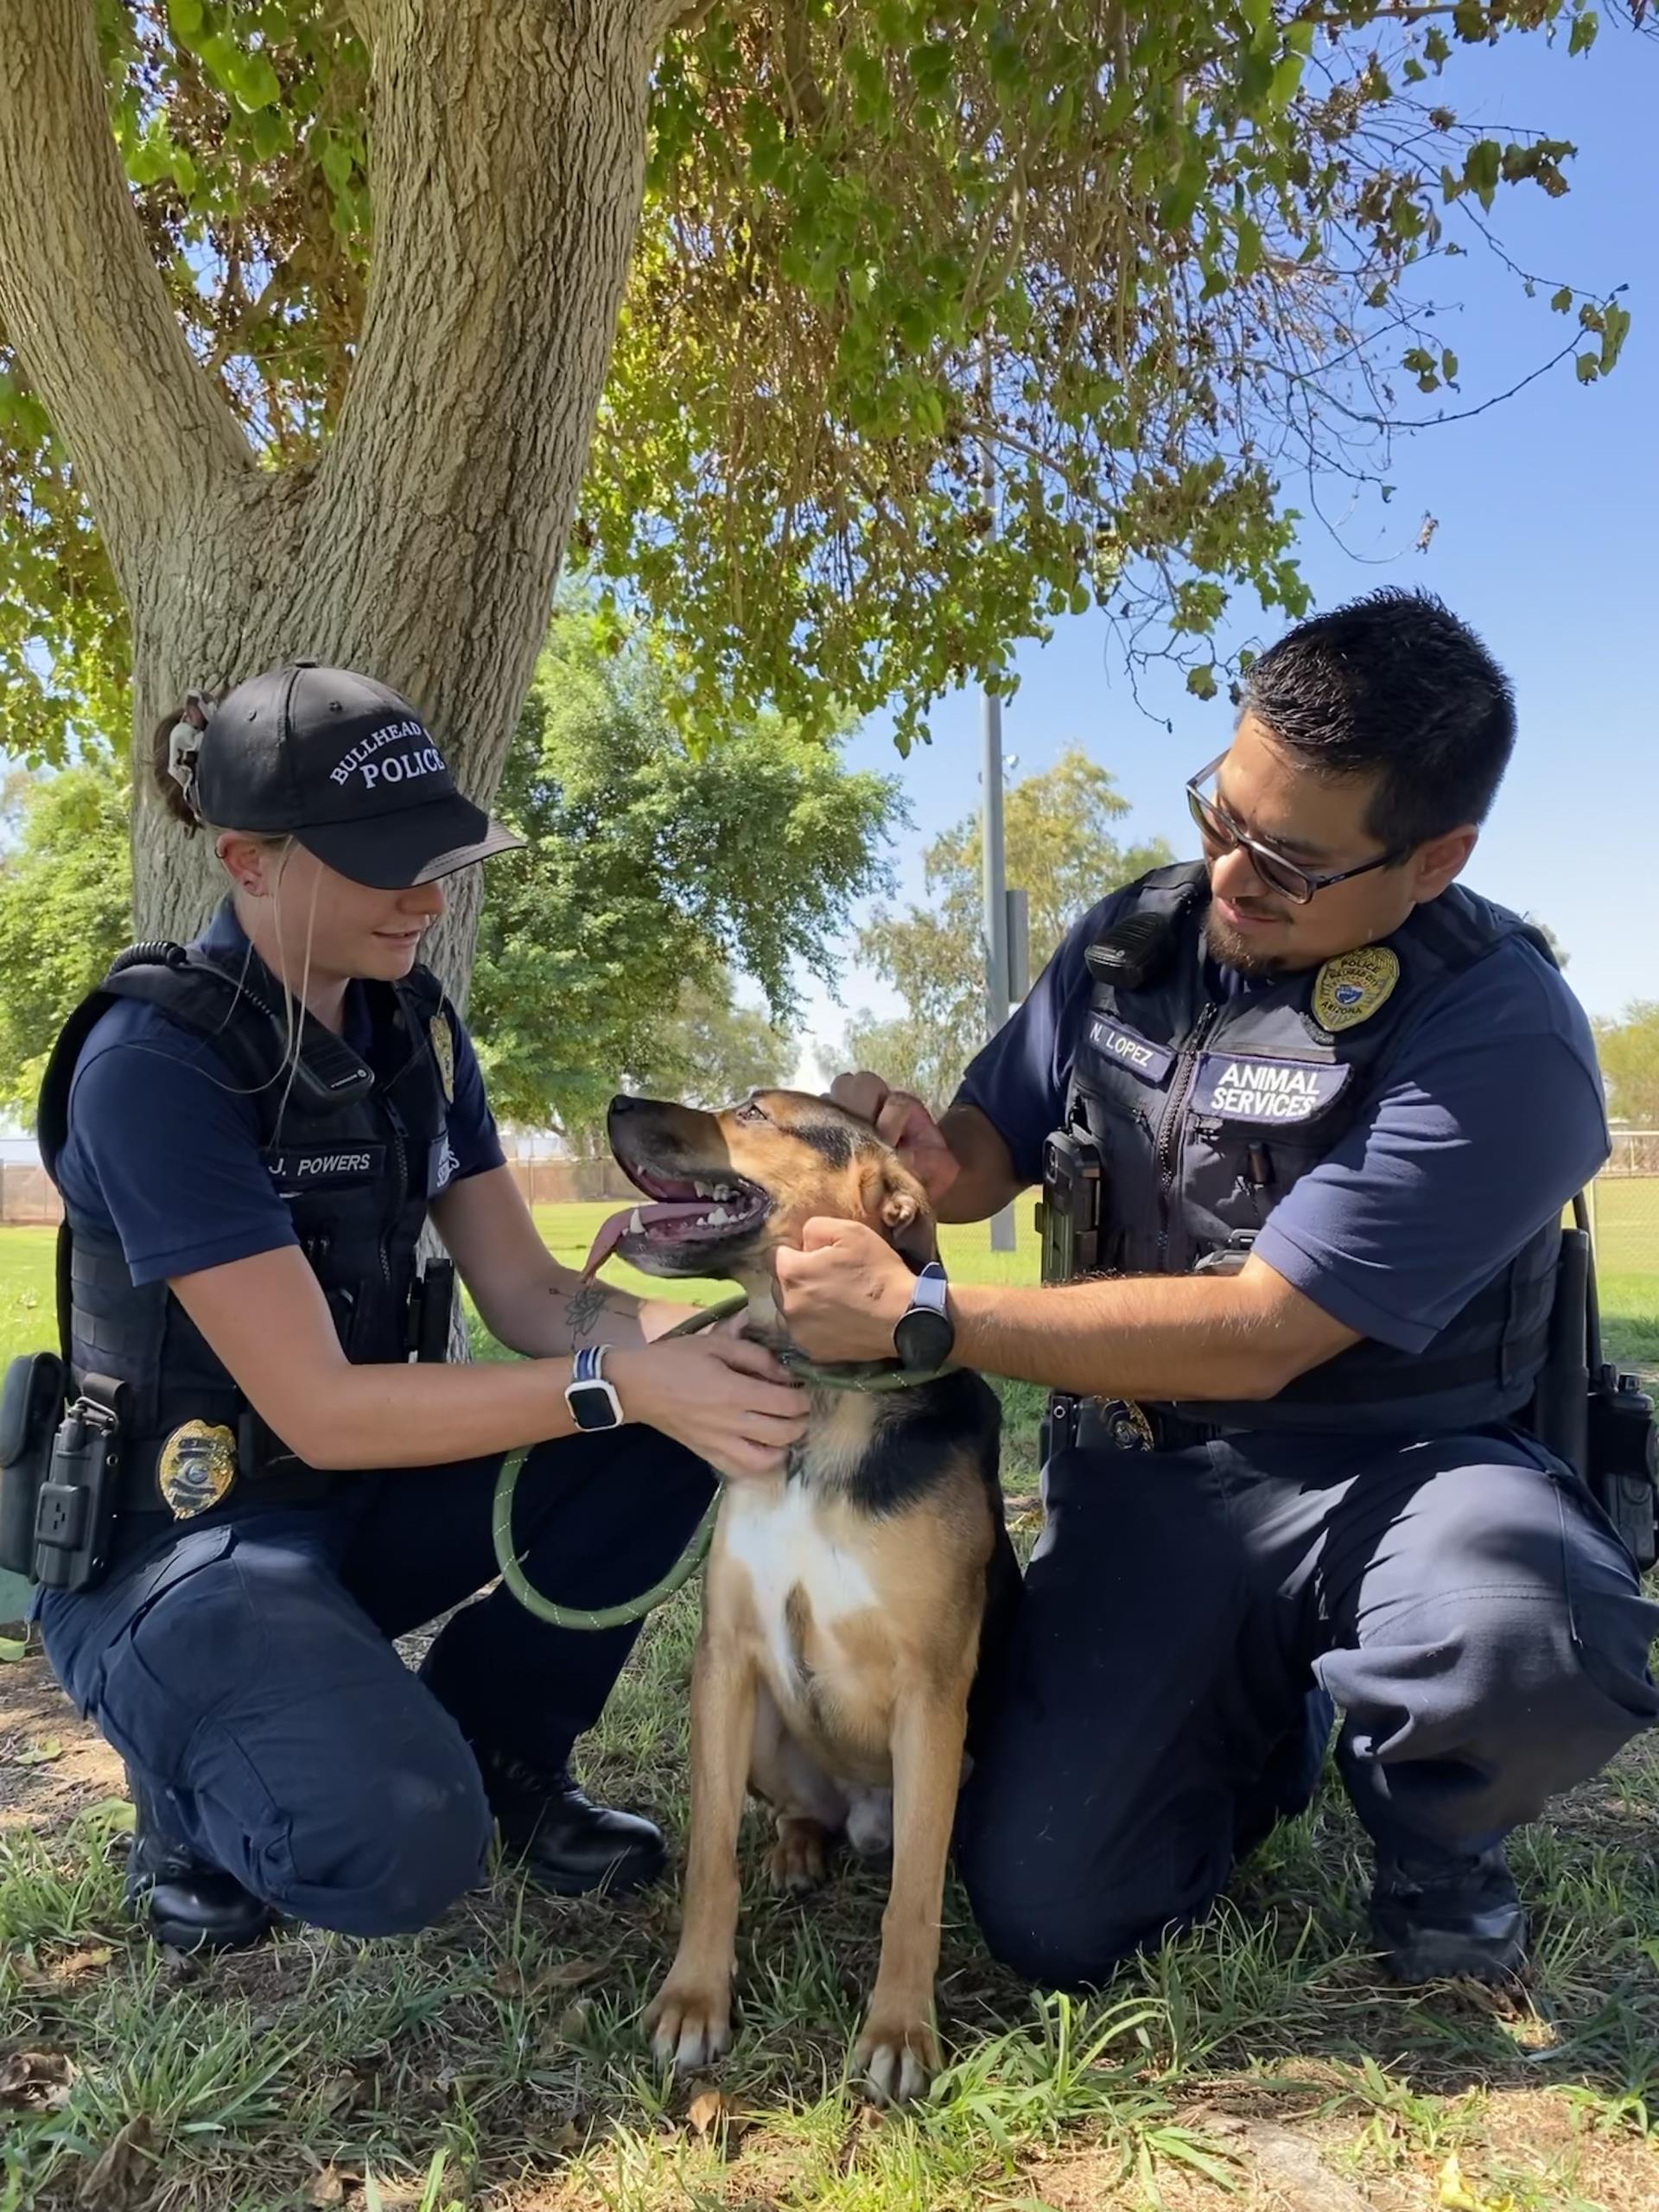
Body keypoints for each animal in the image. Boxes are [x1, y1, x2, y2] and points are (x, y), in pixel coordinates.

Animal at [593, 1088, 1021, 2106]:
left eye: (753, 1112)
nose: (618, 1100)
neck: (827, 1404)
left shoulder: (933, 1693)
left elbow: (913, 1899)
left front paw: (900, 2030)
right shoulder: (726, 1656)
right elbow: (710, 1860)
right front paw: (694, 2001)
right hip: (762, 1733)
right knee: (801, 1813)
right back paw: (797, 1851)